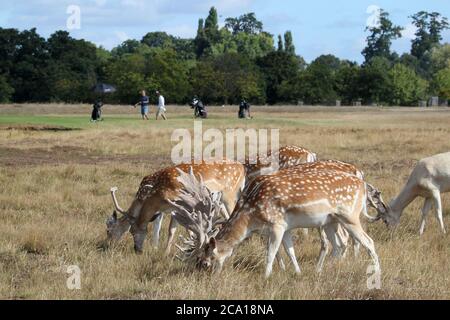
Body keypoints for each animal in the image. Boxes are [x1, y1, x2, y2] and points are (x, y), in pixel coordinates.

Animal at [106, 161, 246, 254]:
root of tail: (242, 168)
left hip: (230, 194)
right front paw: (158, 250)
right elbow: (162, 228)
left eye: (109, 231)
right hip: (220, 200)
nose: (108, 245)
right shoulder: (166, 210)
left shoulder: (178, 206)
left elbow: (174, 229)